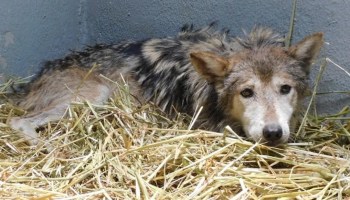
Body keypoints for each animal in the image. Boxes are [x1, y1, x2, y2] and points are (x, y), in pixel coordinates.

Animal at [8, 24, 322, 147]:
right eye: (247, 92)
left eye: (285, 89)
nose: (273, 133)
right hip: (93, 95)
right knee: (17, 122)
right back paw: (47, 146)